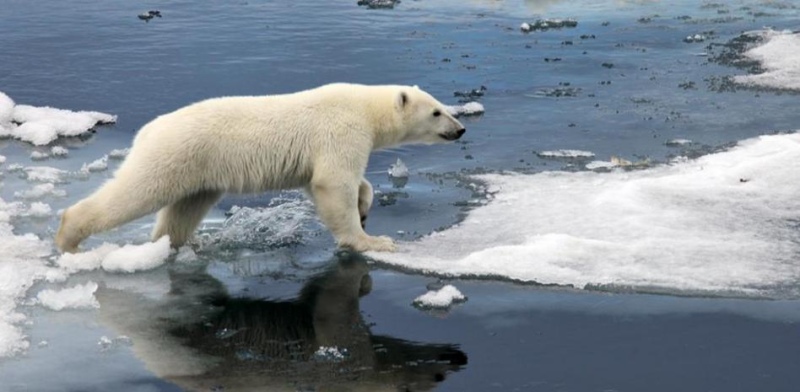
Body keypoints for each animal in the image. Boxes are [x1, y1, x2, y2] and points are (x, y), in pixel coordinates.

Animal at [56, 83, 466, 254]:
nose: (460, 129)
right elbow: (333, 183)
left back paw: (176, 243)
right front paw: (372, 240)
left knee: (184, 209)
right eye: (437, 111)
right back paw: (69, 237)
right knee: (137, 192)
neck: (365, 108)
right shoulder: (340, 131)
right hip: (174, 155)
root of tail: (148, 130)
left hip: (200, 171)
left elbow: (328, 183)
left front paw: (365, 207)